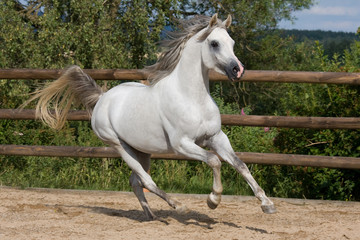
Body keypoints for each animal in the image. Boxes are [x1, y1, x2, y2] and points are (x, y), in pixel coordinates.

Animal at [26, 14, 276, 220]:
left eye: (232, 43)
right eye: (214, 43)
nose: (238, 70)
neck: (191, 97)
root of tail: (102, 98)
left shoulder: (216, 137)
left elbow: (240, 164)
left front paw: (267, 204)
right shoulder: (182, 145)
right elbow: (214, 161)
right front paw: (213, 200)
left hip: (142, 151)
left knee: (135, 181)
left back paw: (150, 215)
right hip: (119, 146)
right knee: (145, 180)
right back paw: (177, 206)